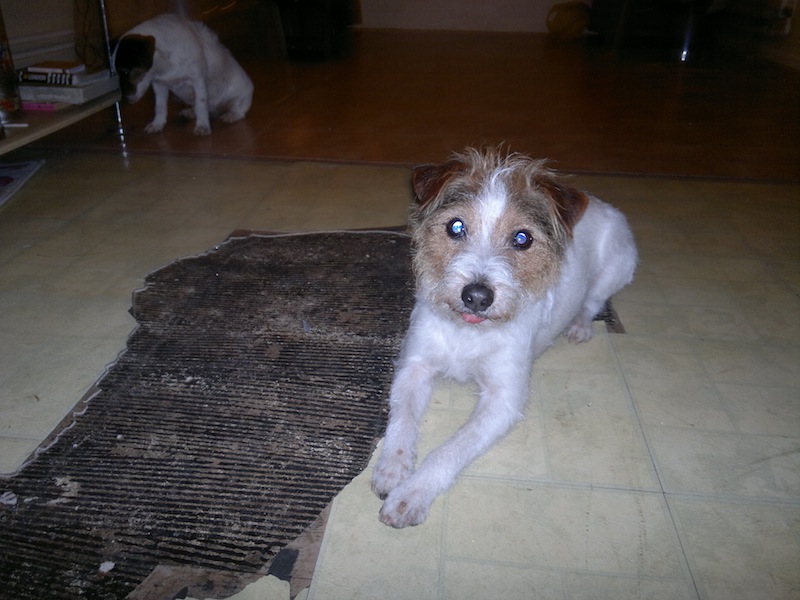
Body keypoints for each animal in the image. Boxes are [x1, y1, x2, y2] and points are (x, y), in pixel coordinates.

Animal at [112, 13, 253, 136]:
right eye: (114, 74)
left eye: (125, 71)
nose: (123, 100)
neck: (165, 66)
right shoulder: (159, 86)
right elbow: (160, 108)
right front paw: (157, 124)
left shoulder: (198, 81)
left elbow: (201, 105)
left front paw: (202, 126)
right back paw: (191, 112)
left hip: (241, 97)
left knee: (238, 110)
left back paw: (231, 115)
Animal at [372, 148, 640, 528]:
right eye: (456, 227)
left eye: (522, 238)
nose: (477, 296)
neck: (469, 332)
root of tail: (601, 204)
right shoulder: (415, 367)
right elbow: (403, 420)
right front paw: (392, 468)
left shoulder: (503, 399)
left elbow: (451, 448)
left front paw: (412, 494)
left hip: (618, 266)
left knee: (593, 300)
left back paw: (579, 326)